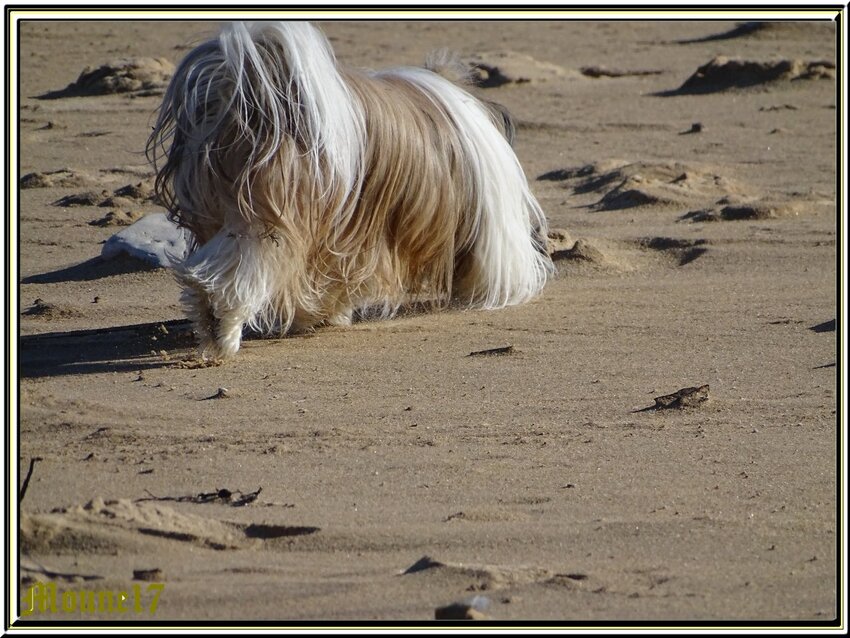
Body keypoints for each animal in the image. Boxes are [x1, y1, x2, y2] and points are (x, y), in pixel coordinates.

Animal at [144, 21, 556, 360]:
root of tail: (251, 104)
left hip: (227, 208)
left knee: (207, 271)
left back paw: (210, 327)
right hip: (274, 218)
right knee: (238, 276)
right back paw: (225, 336)